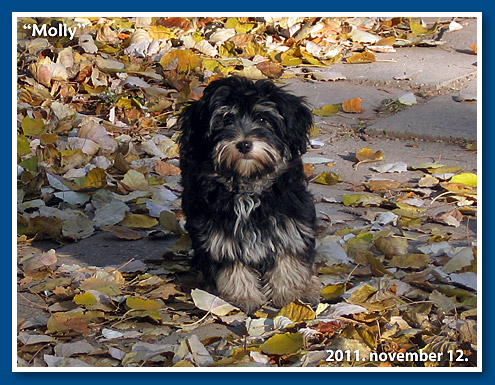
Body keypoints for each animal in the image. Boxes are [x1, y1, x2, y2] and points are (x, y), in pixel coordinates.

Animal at [178, 76, 322, 314]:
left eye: (263, 119)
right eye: (226, 120)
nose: (244, 144)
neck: (248, 186)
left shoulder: (290, 221)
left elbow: (288, 256)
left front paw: (292, 295)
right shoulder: (219, 232)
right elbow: (231, 262)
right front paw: (241, 297)